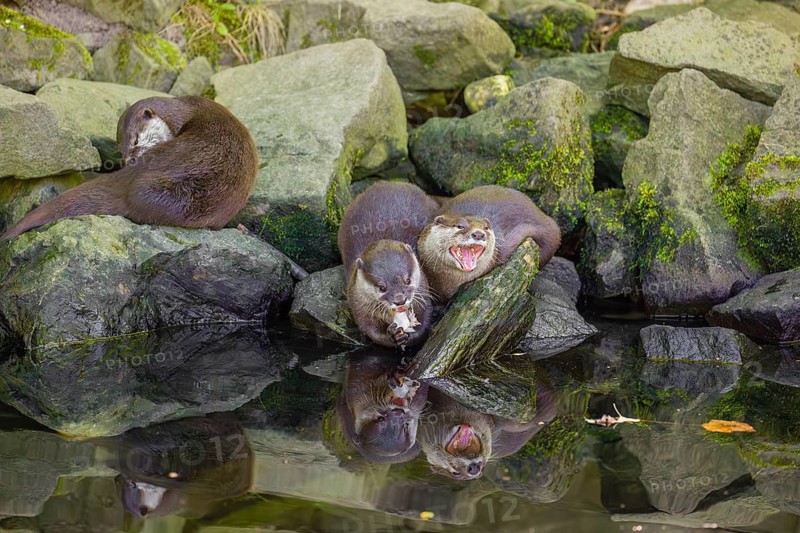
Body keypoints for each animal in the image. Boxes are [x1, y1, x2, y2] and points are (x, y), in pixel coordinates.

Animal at [338, 182, 438, 348]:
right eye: (382, 288)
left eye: (407, 280)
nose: (400, 300)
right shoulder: (357, 302)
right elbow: (369, 329)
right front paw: (393, 335)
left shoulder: (423, 289)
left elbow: (426, 316)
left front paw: (413, 334)